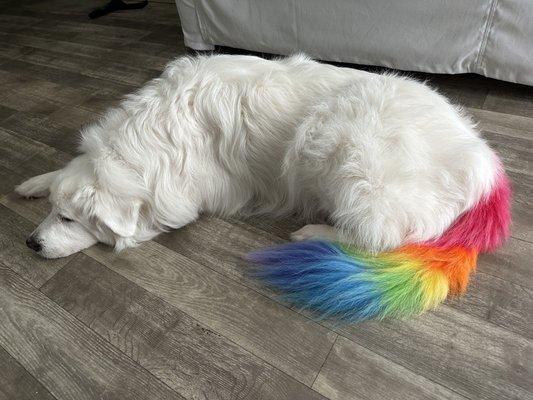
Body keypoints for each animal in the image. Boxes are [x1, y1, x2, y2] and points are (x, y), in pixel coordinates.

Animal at [18, 54, 496, 260]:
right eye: (53, 211)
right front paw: (35, 183)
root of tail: (481, 160)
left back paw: (313, 233)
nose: (29, 243)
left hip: (339, 138)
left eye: (69, 219)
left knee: (384, 235)